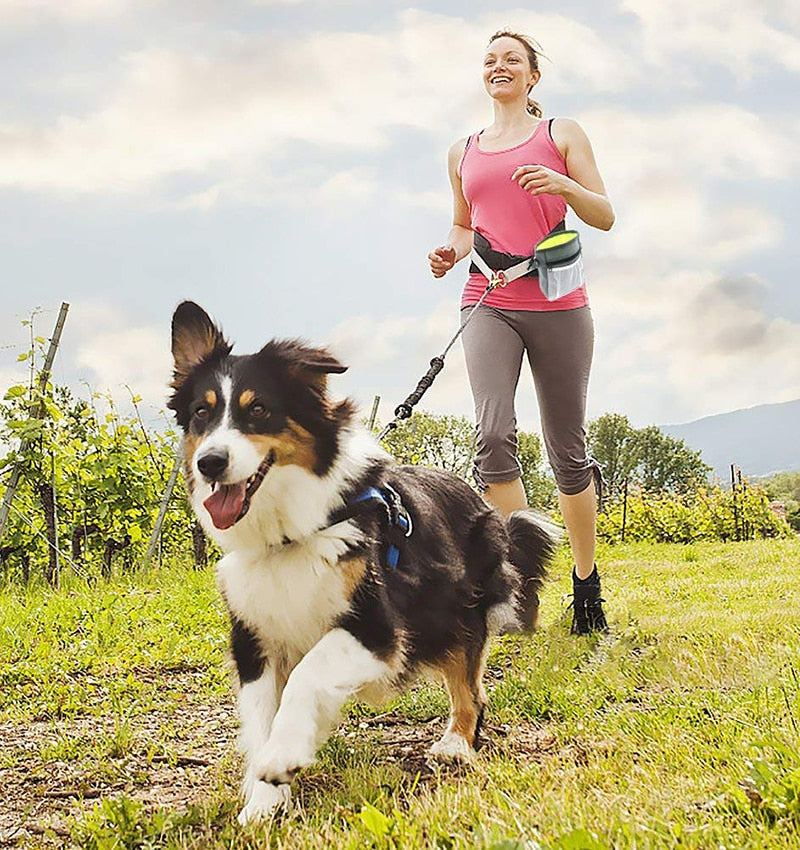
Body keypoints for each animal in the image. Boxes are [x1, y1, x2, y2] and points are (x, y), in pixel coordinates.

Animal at [169, 300, 556, 820]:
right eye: (201, 413)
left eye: (259, 410)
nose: (209, 463)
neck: (290, 533)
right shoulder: (254, 637)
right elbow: (261, 717)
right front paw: (263, 802)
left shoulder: (377, 628)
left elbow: (308, 675)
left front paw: (282, 758)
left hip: (456, 610)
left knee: (469, 688)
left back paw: (456, 743)